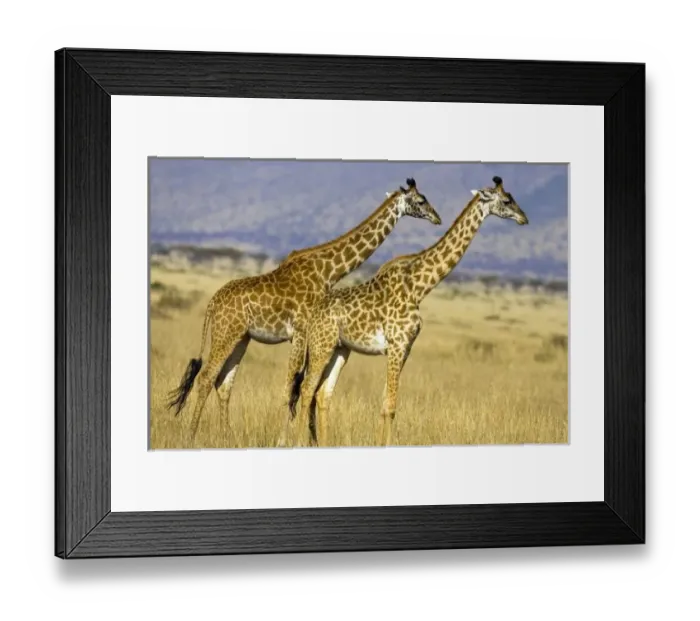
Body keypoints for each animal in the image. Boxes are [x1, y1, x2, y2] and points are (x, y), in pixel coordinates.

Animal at [166, 178, 442, 442]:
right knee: (206, 377)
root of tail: (212, 302)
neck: (328, 272)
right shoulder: (302, 332)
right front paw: (286, 441)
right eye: (420, 200)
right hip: (226, 333)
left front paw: (311, 440)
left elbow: (304, 388)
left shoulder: (309, 335)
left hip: (241, 338)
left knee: (223, 383)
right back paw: (191, 436)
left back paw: (227, 437)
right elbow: (294, 388)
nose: (437, 218)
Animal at [294, 176, 529, 448]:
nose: (524, 218)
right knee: (307, 389)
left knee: (323, 393)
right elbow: (391, 406)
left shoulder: (404, 348)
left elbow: (385, 404)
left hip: (340, 348)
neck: (418, 287)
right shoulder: (396, 345)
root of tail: (313, 313)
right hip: (321, 345)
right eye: (506, 200)